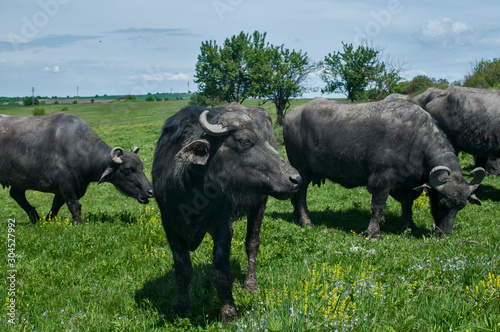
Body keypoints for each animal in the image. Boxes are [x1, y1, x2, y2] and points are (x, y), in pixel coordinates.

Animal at [0, 113, 152, 224]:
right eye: (128, 169)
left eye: (141, 167)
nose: (150, 192)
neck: (78, 149)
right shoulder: (66, 184)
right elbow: (74, 204)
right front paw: (79, 223)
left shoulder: (72, 187)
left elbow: (57, 204)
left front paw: (49, 219)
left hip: (19, 180)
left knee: (16, 194)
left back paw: (35, 218)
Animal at [152, 104, 300, 322]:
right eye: (244, 141)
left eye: (263, 139)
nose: (296, 178)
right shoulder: (170, 226)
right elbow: (182, 269)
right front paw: (181, 306)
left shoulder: (223, 227)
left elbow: (221, 272)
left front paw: (228, 311)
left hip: (260, 203)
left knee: (252, 243)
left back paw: (251, 283)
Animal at [286, 97, 484, 237]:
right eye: (442, 203)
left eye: (460, 207)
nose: (445, 233)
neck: (415, 141)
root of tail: (291, 115)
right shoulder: (381, 179)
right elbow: (378, 206)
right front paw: (374, 232)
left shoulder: (409, 185)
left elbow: (407, 205)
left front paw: (409, 226)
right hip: (302, 170)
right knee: (301, 196)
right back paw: (306, 221)